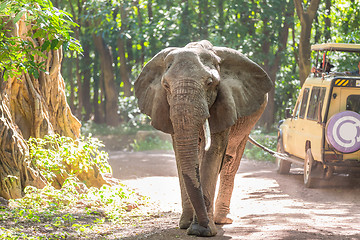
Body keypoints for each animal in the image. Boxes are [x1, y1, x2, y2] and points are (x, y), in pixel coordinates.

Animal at [135, 39, 272, 236]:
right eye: (166, 85)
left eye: (209, 83)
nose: (203, 224)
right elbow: (181, 157)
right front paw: (186, 225)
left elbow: (213, 152)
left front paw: (203, 231)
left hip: (249, 121)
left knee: (231, 161)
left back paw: (222, 220)